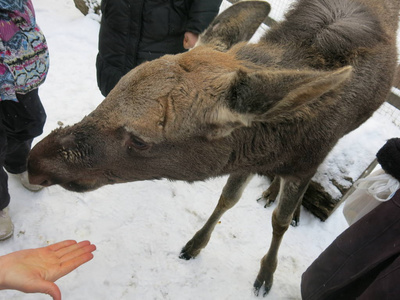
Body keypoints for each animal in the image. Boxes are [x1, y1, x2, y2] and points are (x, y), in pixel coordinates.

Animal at [26, 0, 398, 296]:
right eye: (112, 93)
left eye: (141, 140)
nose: (36, 162)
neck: (282, 141)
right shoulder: (246, 159)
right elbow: (226, 199)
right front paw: (194, 244)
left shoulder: (307, 162)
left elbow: (279, 221)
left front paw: (265, 275)